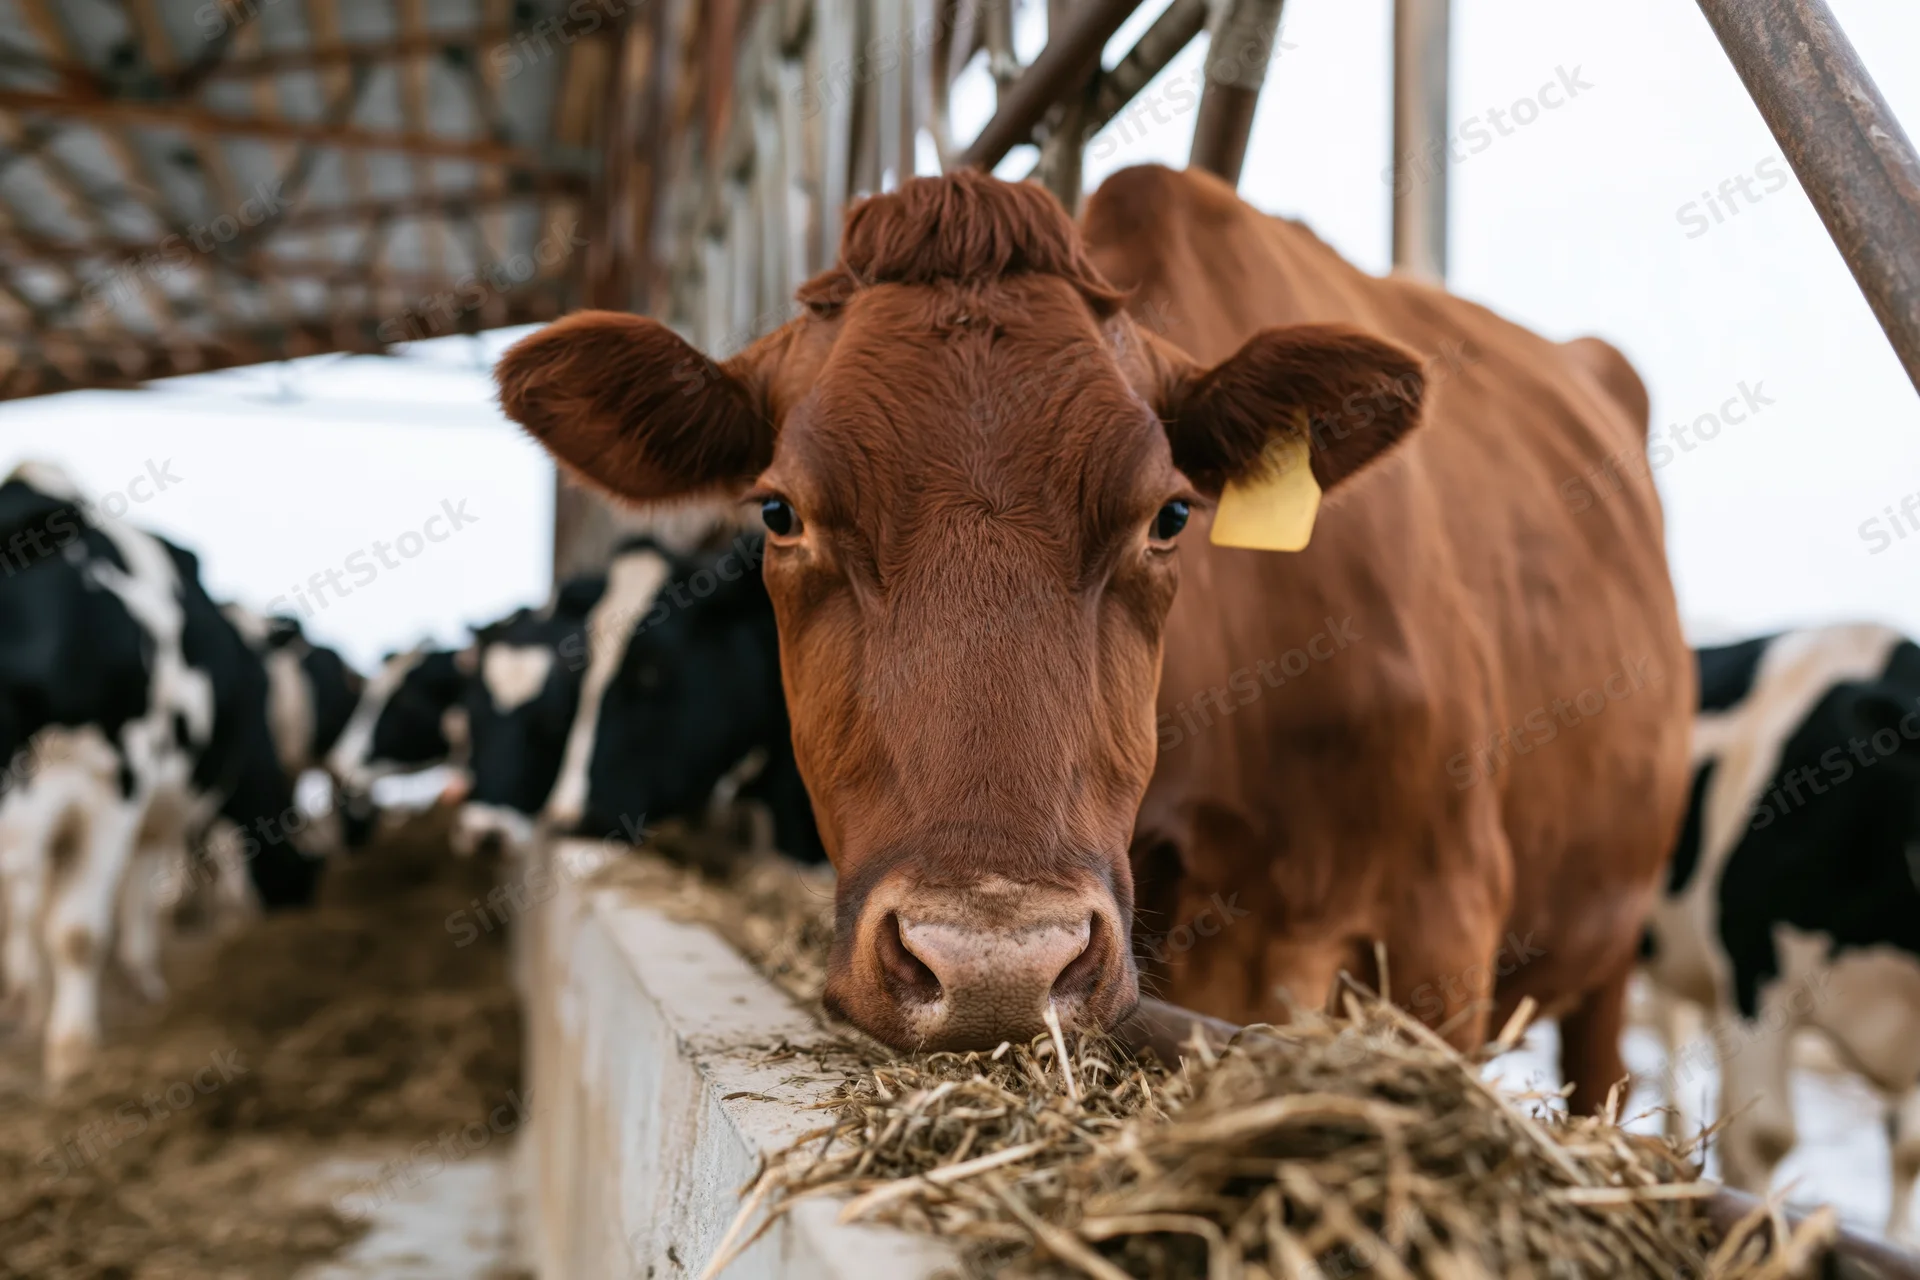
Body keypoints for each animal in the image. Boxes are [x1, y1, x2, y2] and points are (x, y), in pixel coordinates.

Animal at [0, 462, 321, 1082]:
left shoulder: (113, 787)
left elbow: (76, 932)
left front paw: (72, 1055)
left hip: (158, 809)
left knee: (137, 886)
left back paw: (139, 977)